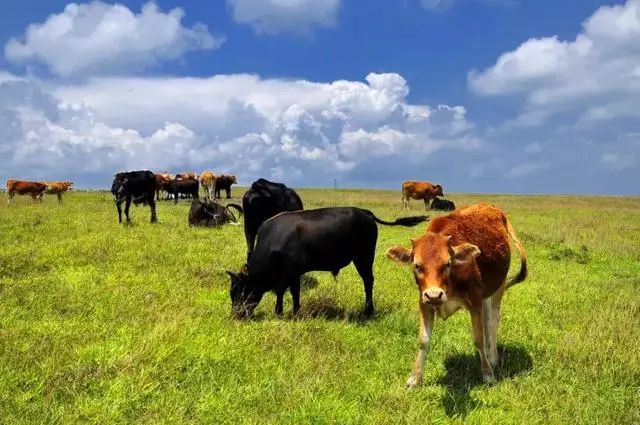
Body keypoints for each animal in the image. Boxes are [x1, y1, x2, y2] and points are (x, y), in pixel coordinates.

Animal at [384, 204, 524, 386]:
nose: (434, 295)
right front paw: (415, 378)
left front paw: (487, 373)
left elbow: (478, 338)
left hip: (498, 288)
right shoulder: (424, 303)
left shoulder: (475, 302)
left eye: (447, 263)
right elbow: (423, 341)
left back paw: (492, 358)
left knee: (492, 321)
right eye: (417, 266)